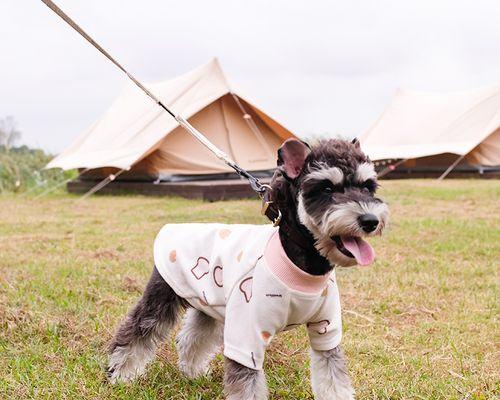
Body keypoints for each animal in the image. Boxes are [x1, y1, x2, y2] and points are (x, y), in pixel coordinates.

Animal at [107, 138, 388, 400]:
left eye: (367, 186)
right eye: (327, 188)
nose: (370, 221)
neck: (303, 265)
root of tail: (173, 228)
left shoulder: (326, 330)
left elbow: (333, 376)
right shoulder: (246, 335)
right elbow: (246, 385)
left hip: (210, 305)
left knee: (193, 337)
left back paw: (193, 372)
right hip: (162, 296)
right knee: (136, 333)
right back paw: (121, 375)